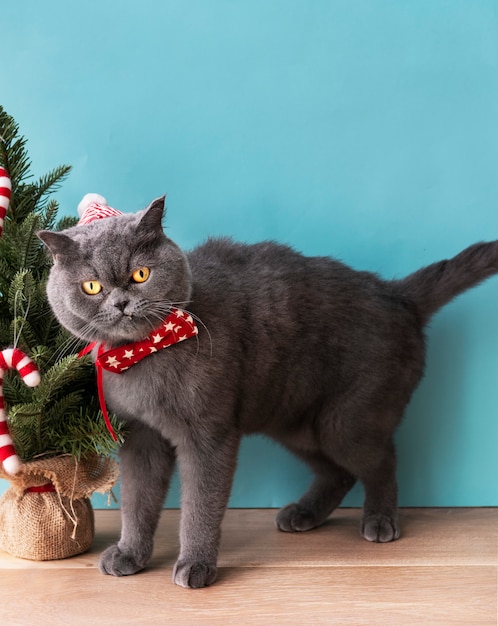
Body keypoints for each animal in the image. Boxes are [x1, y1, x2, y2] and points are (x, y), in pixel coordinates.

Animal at [38, 199, 498, 584]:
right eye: (92, 286)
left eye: (140, 274)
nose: (119, 303)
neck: (144, 356)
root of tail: (397, 294)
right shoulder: (140, 437)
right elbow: (137, 500)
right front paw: (130, 554)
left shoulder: (209, 435)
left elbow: (200, 505)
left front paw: (196, 565)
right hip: (297, 422)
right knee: (341, 471)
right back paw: (303, 514)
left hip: (345, 420)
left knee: (382, 460)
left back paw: (381, 521)